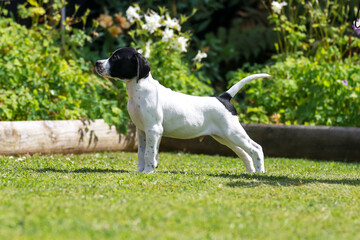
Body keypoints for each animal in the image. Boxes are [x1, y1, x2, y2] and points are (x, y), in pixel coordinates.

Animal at [95, 47, 270, 173]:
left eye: (115, 58)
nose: (97, 62)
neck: (139, 89)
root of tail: (223, 98)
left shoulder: (153, 129)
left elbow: (149, 153)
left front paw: (148, 172)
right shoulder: (142, 130)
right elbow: (141, 153)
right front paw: (139, 171)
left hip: (233, 133)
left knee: (256, 148)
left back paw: (260, 173)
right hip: (224, 137)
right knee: (244, 153)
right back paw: (250, 172)